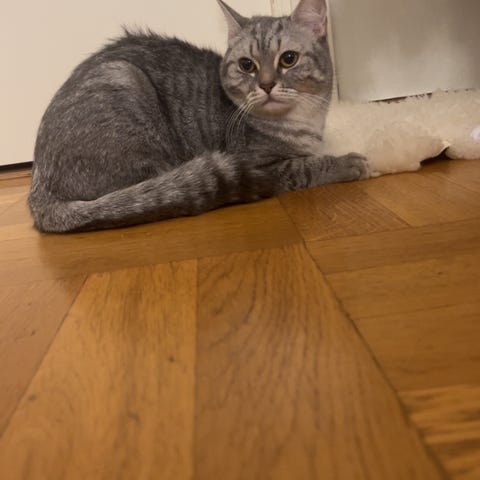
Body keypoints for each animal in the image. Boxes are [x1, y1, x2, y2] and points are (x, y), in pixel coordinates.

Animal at [28, 0, 368, 232]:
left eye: (288, 59)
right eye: (247, 65)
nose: (267, 84)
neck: (304, 122)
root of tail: (39, 190)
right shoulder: (263, 164)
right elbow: (306, 166)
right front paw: (349, 162)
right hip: (127, 86)